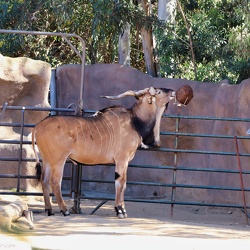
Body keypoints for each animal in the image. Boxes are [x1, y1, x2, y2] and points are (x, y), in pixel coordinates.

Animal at [31, 87, 174, 218]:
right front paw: (120, 210)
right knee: (55, 182)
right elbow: (120, 183)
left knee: (44, 181)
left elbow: (124, 183)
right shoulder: (122, 160)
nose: (172, 91)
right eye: (159, 91)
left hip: (47, 160)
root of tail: (38, 127)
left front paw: (122, 209)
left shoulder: (125, 162)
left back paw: (49, 210)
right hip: (58, 160)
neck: (134, 120)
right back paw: (64, 210)